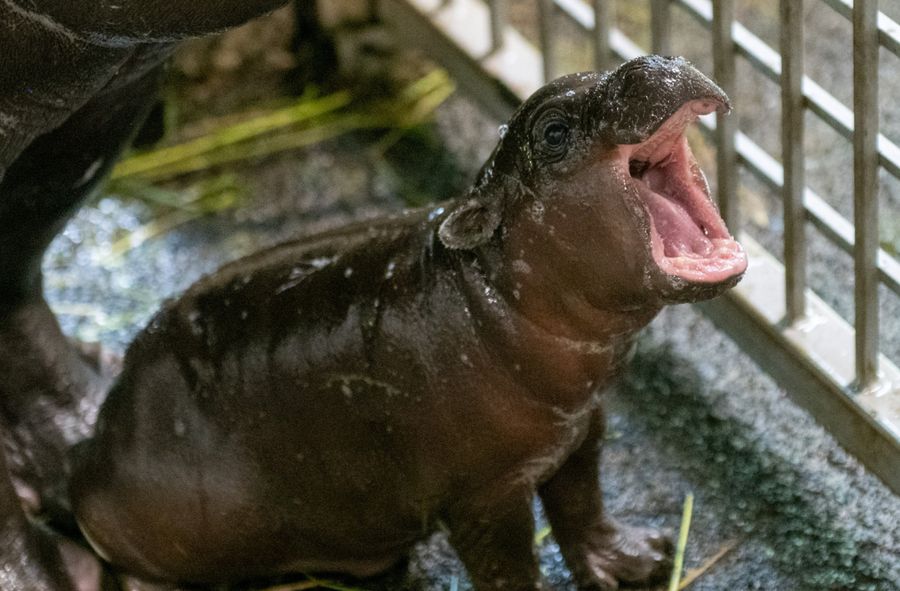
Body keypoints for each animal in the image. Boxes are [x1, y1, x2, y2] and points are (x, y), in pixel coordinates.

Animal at [68, 56, 744, 591]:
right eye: (552, 130)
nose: (655, 61)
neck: (488, 289)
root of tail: (95, 448)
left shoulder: (584, 425)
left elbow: (582, 503)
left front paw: (641, 561)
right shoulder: (484, 497)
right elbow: (510, 569)